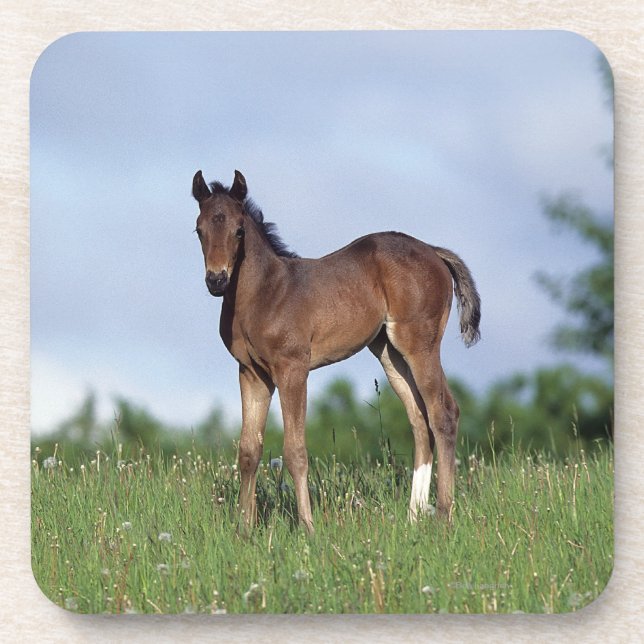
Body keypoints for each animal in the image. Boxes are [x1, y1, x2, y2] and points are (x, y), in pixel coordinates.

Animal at [192, 169, 481, 533]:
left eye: (239, 230)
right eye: (199, 230)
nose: (216, 280)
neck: (264, 293)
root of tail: (433, 250)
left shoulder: (292, 369)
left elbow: (295, 450)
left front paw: (307, 527)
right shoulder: (252, 373)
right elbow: (248, 451)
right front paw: (244, 530)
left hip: (420, 343)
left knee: (443, 412)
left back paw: (443, 515)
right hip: (389, 352)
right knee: (419, 419)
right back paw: (412, 517)